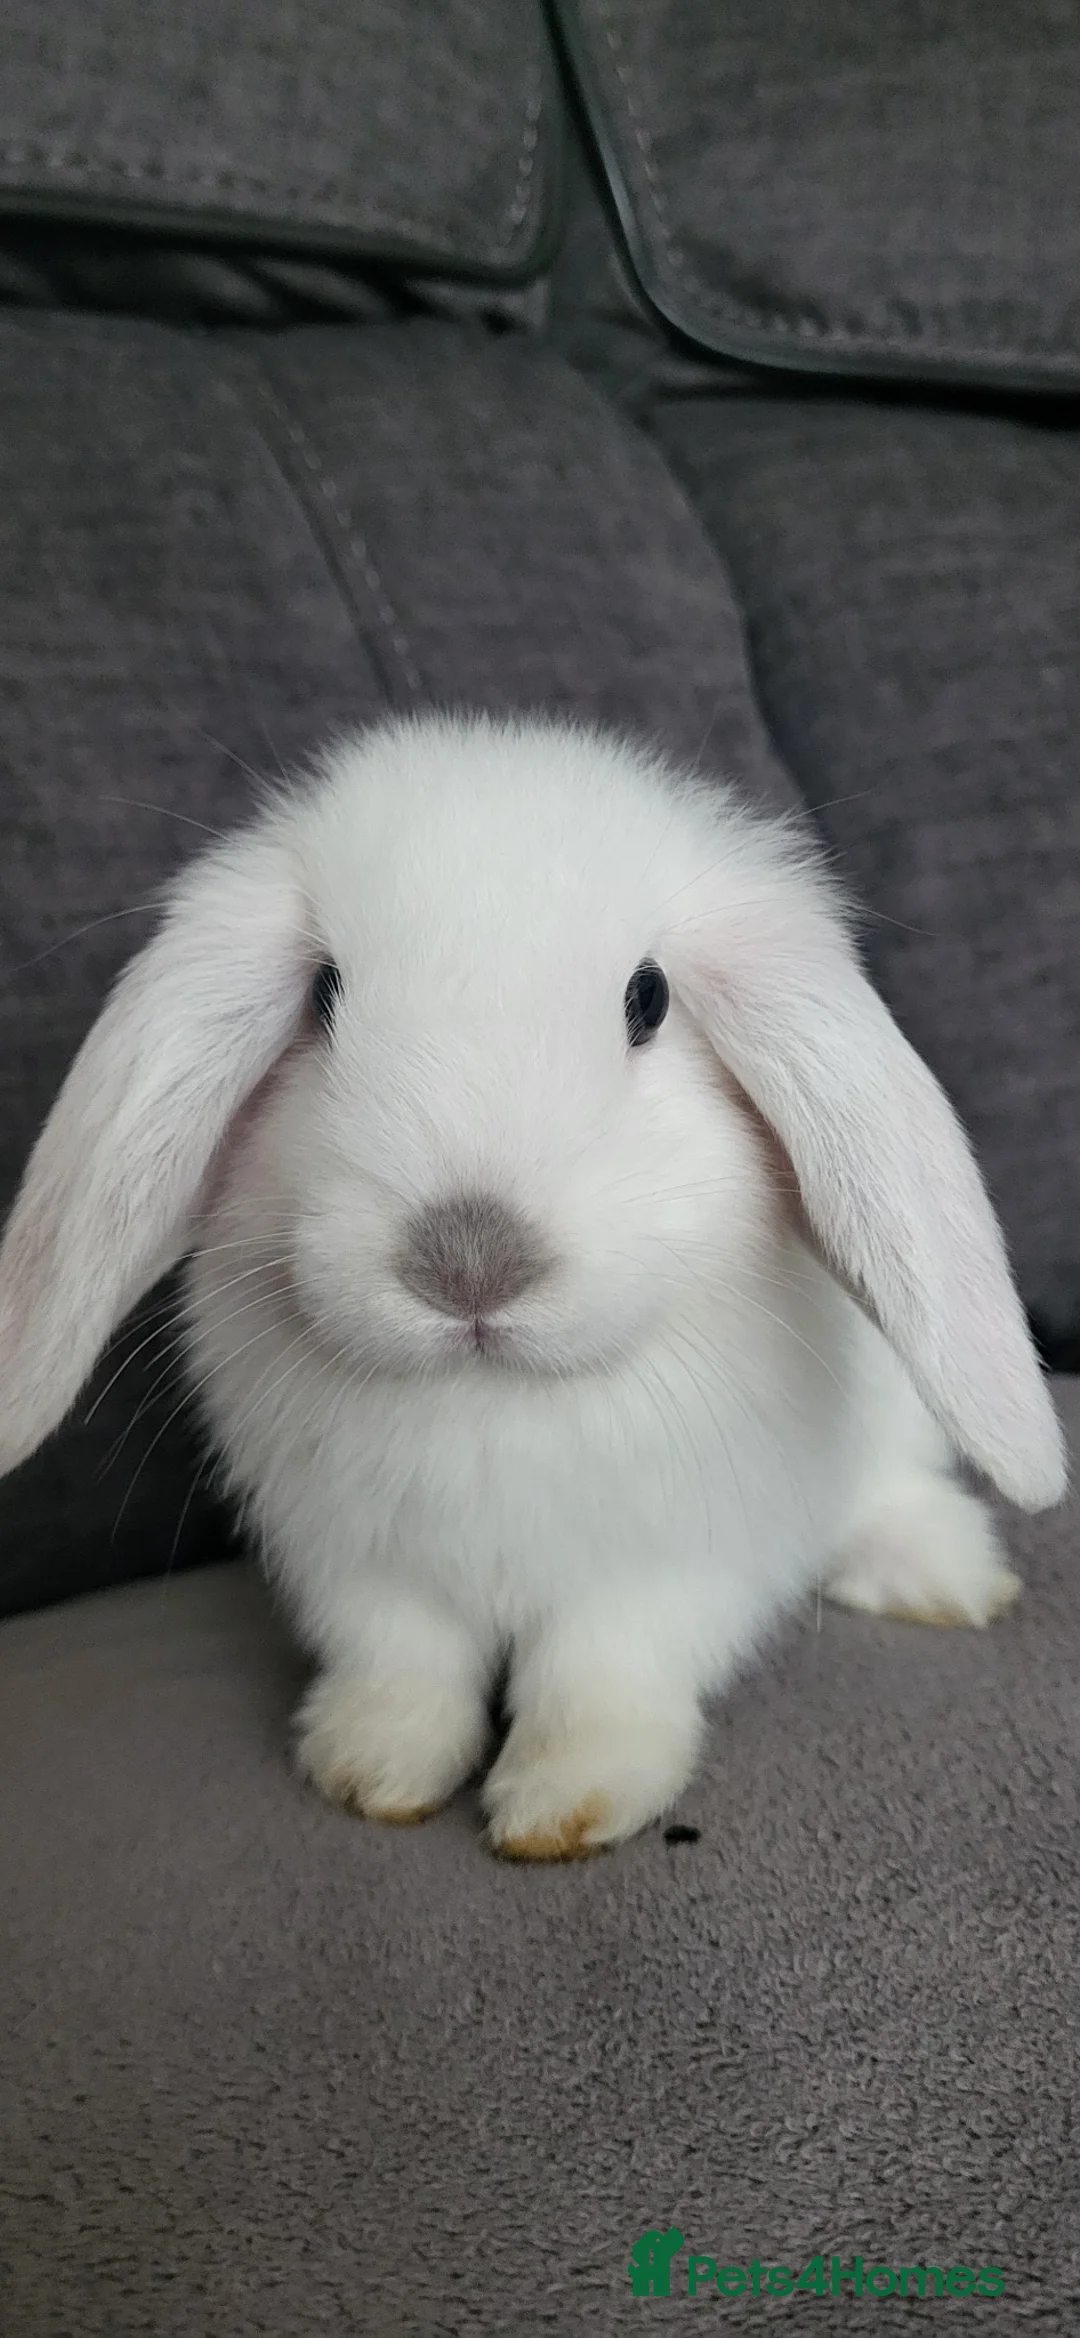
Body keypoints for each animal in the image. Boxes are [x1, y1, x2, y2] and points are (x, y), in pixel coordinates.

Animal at [0, 712, 1066, 1858]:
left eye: (649, 998)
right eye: (324, 993)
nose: (468, 1261)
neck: (492, 1400)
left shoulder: (665, 1569)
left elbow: (601, 1676)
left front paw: (567, 1804)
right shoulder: (363, 1568)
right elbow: (404, 1668)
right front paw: (370, 1771)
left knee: (886, 1494)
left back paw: (950, 1578)